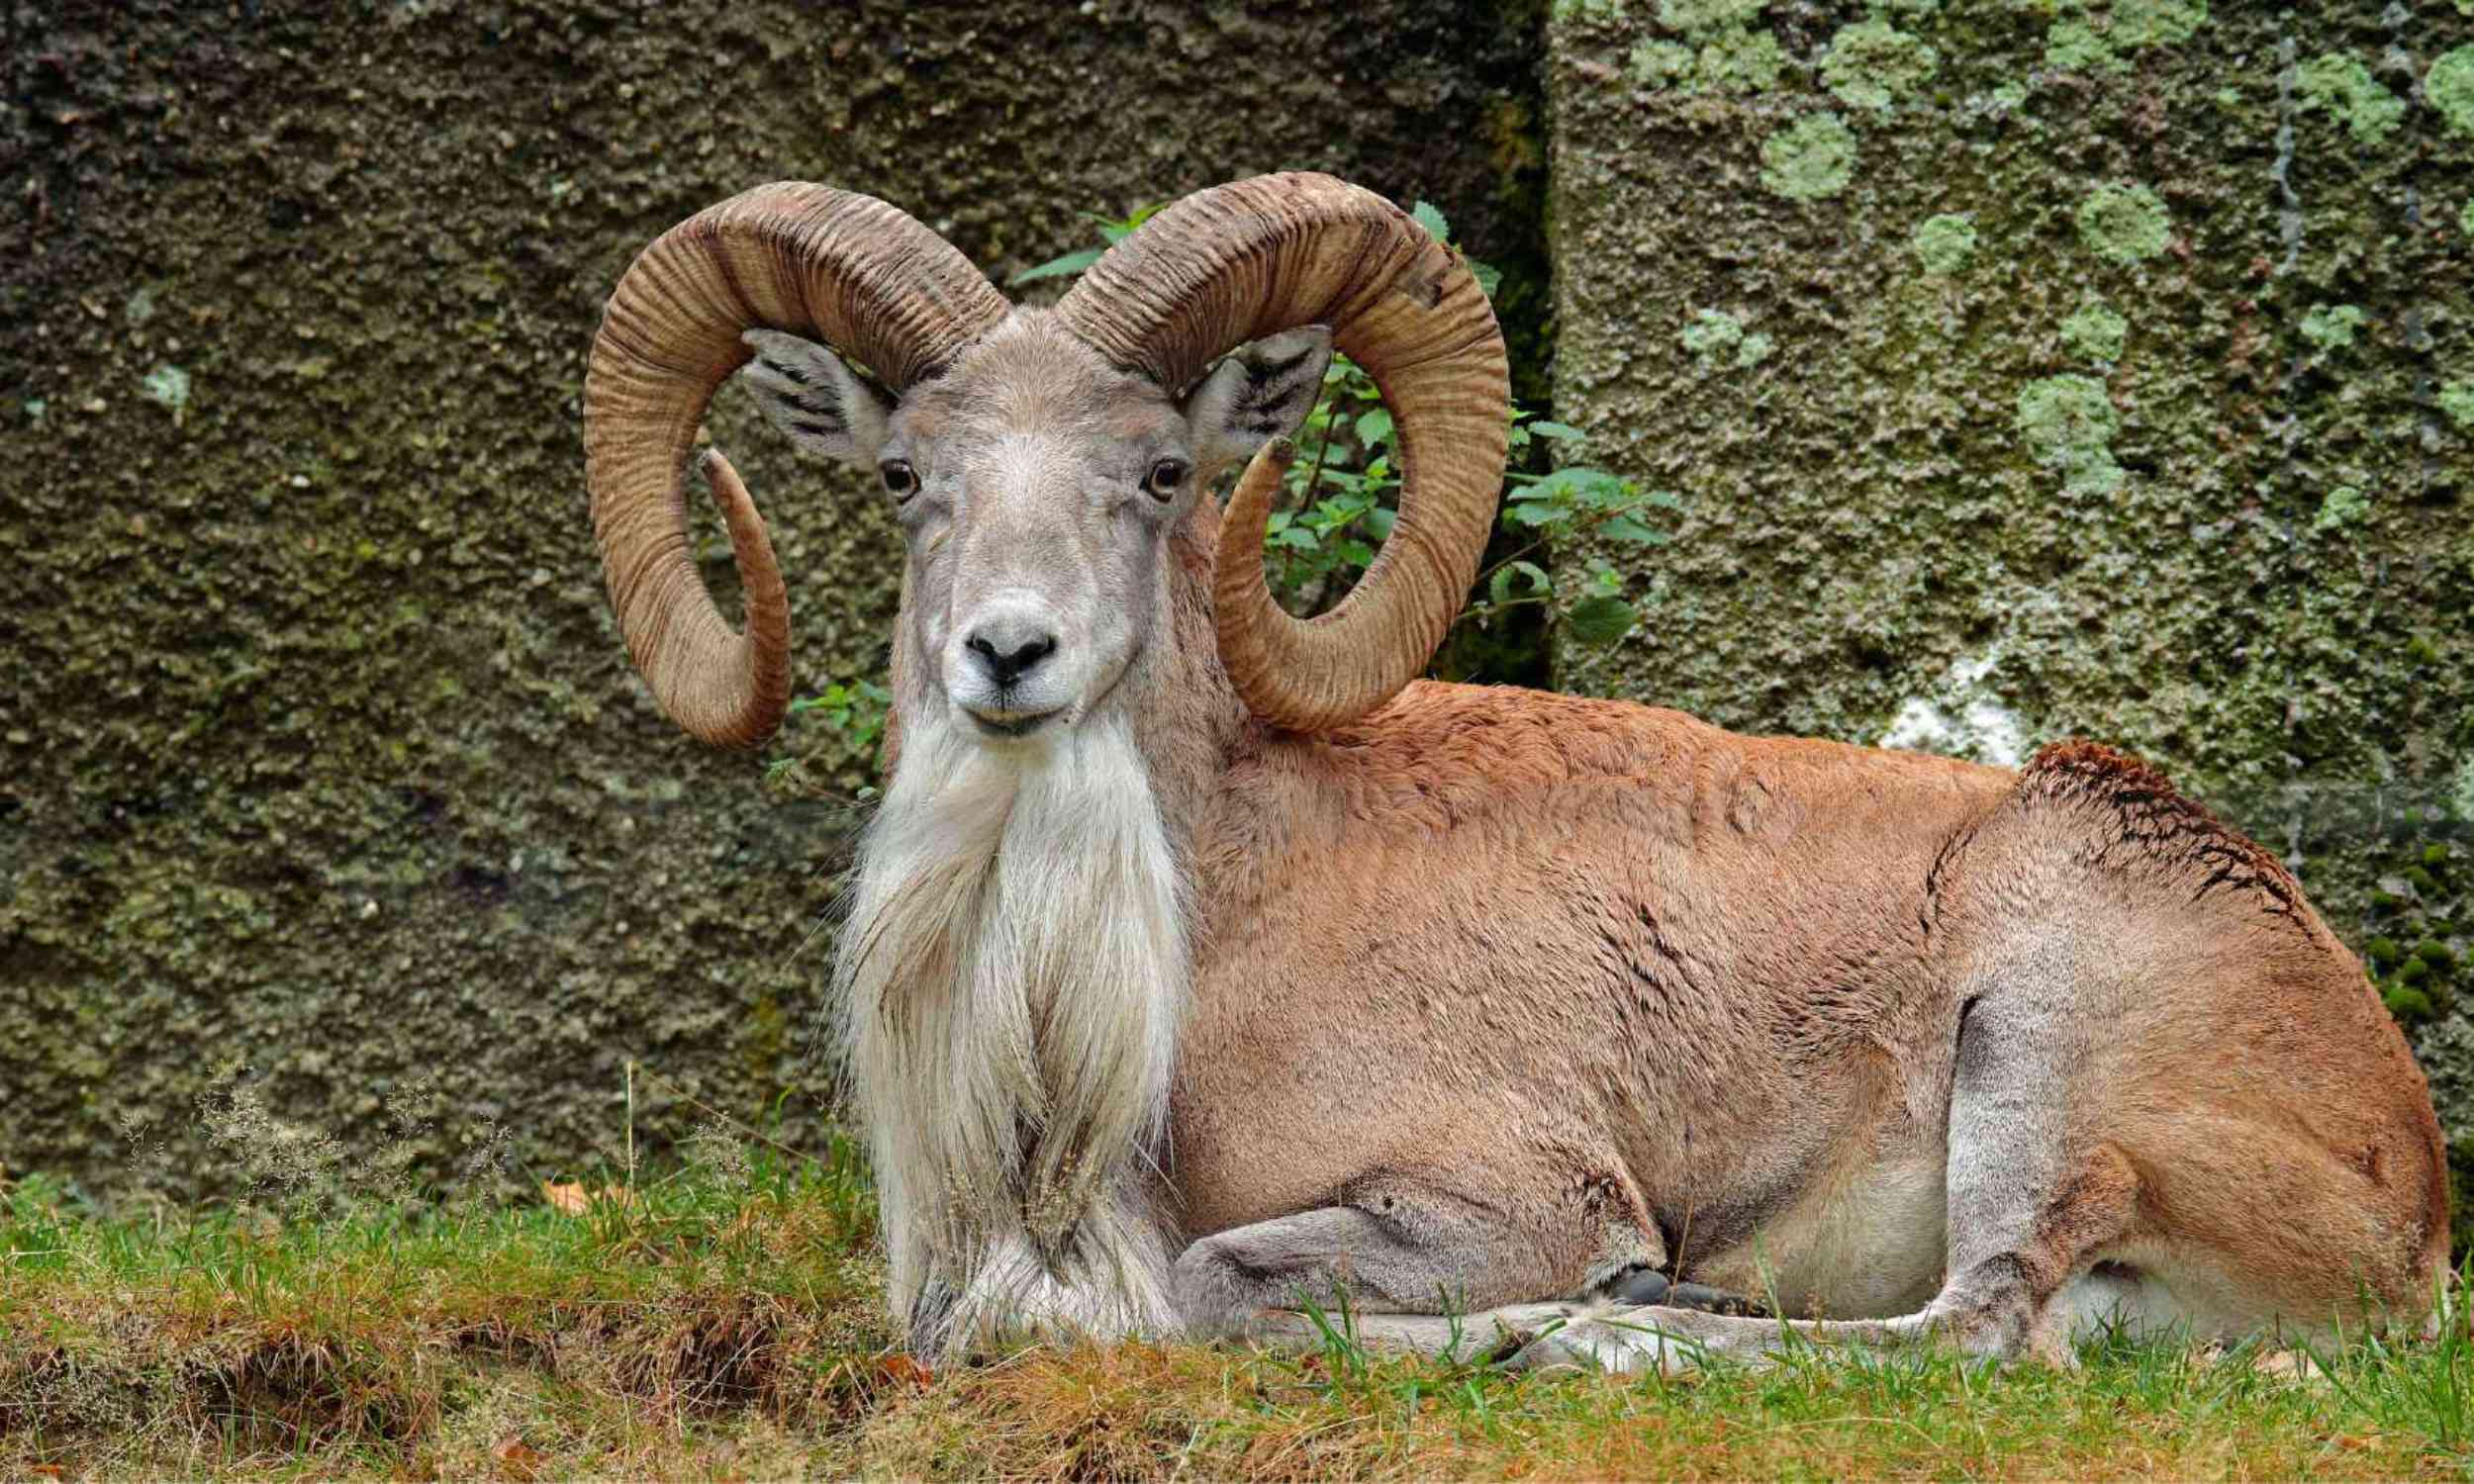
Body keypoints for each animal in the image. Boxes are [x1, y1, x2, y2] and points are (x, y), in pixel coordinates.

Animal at [581, 173, 2448, 1370]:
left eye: (1163, 470)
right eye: (908, 475)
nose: (1008, 655)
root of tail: (2407, 1201)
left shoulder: (1501, 1192)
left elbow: (1208, 1288)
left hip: (2039, 1056)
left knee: (1973, 1336)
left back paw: (1591, 1337)